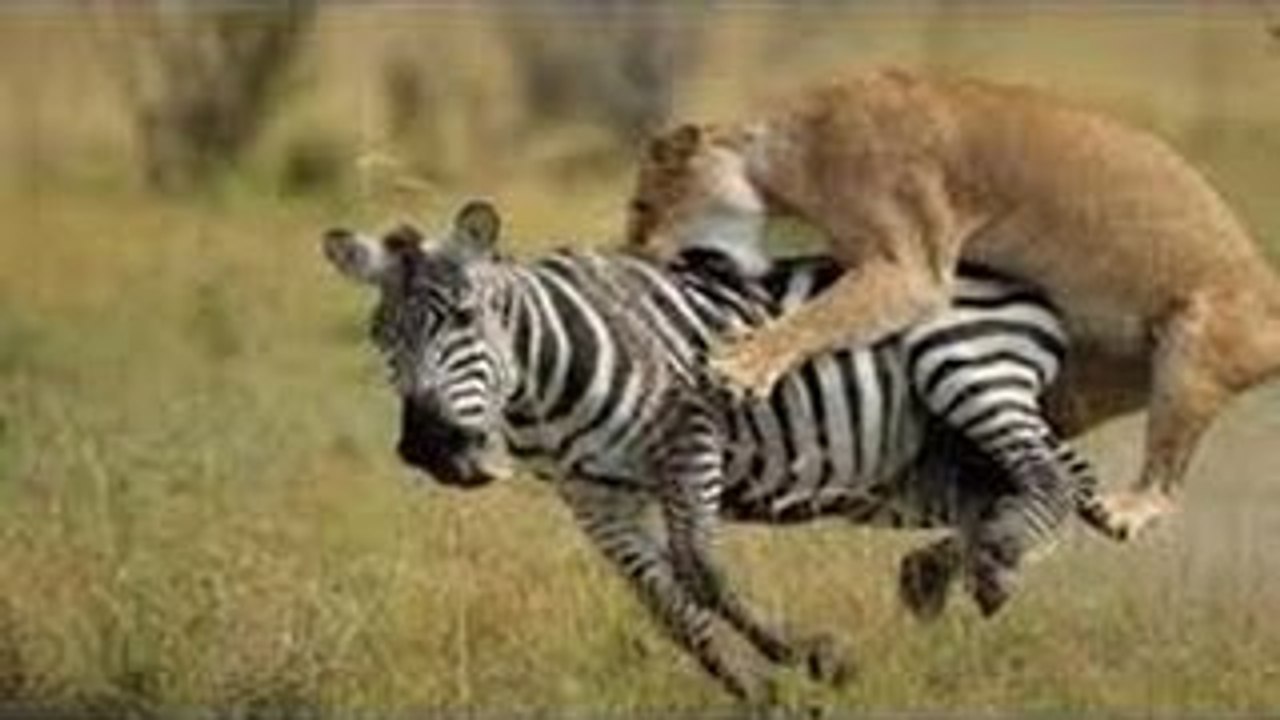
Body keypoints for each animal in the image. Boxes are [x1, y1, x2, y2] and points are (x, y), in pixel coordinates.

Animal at [624, 67, 1280, 541]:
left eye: (642, 207)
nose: (630, 253)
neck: (784, 158)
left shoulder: (911, 269)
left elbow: (815, 318)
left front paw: (739, 366)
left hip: (1192, 352)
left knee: (1167, 480)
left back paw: (1122, 512)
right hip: (1097, 374)